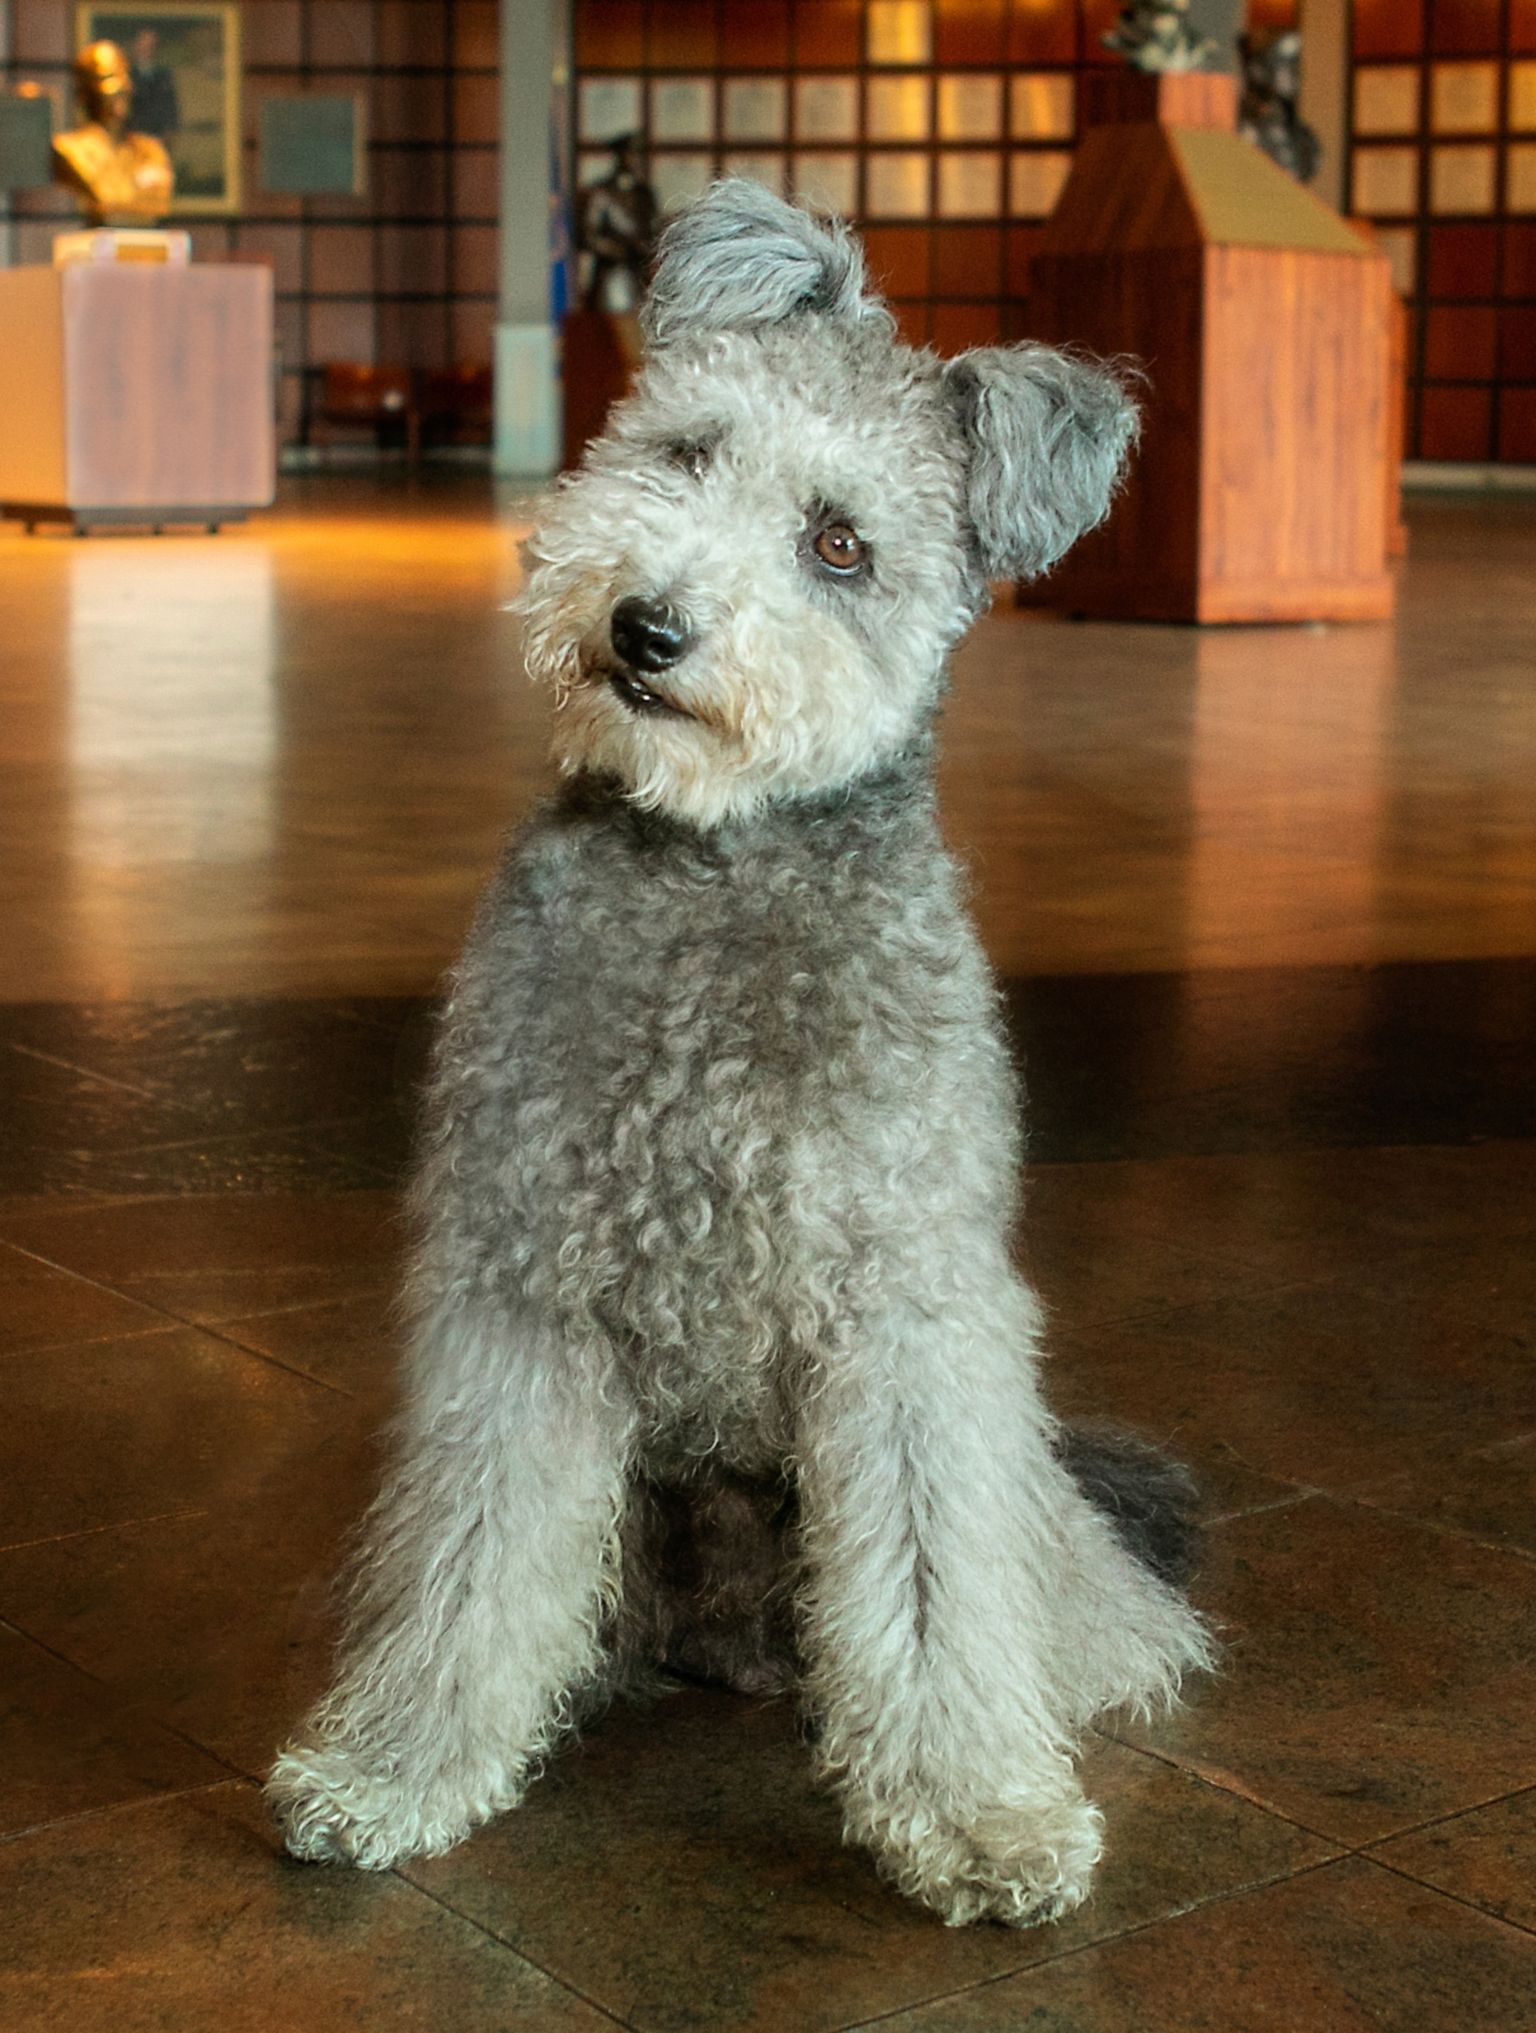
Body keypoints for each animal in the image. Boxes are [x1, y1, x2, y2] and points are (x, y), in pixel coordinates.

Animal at [268, 181, 1211, 1928]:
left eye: (840, 544)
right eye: (688, 452)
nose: (646, 627)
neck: (711, 879)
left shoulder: (906, 1315)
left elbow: (934, 1578)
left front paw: (975, 1815)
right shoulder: (523, 1293)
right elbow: (473, 1563)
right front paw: (401, 1767)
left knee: (1065, 1596)